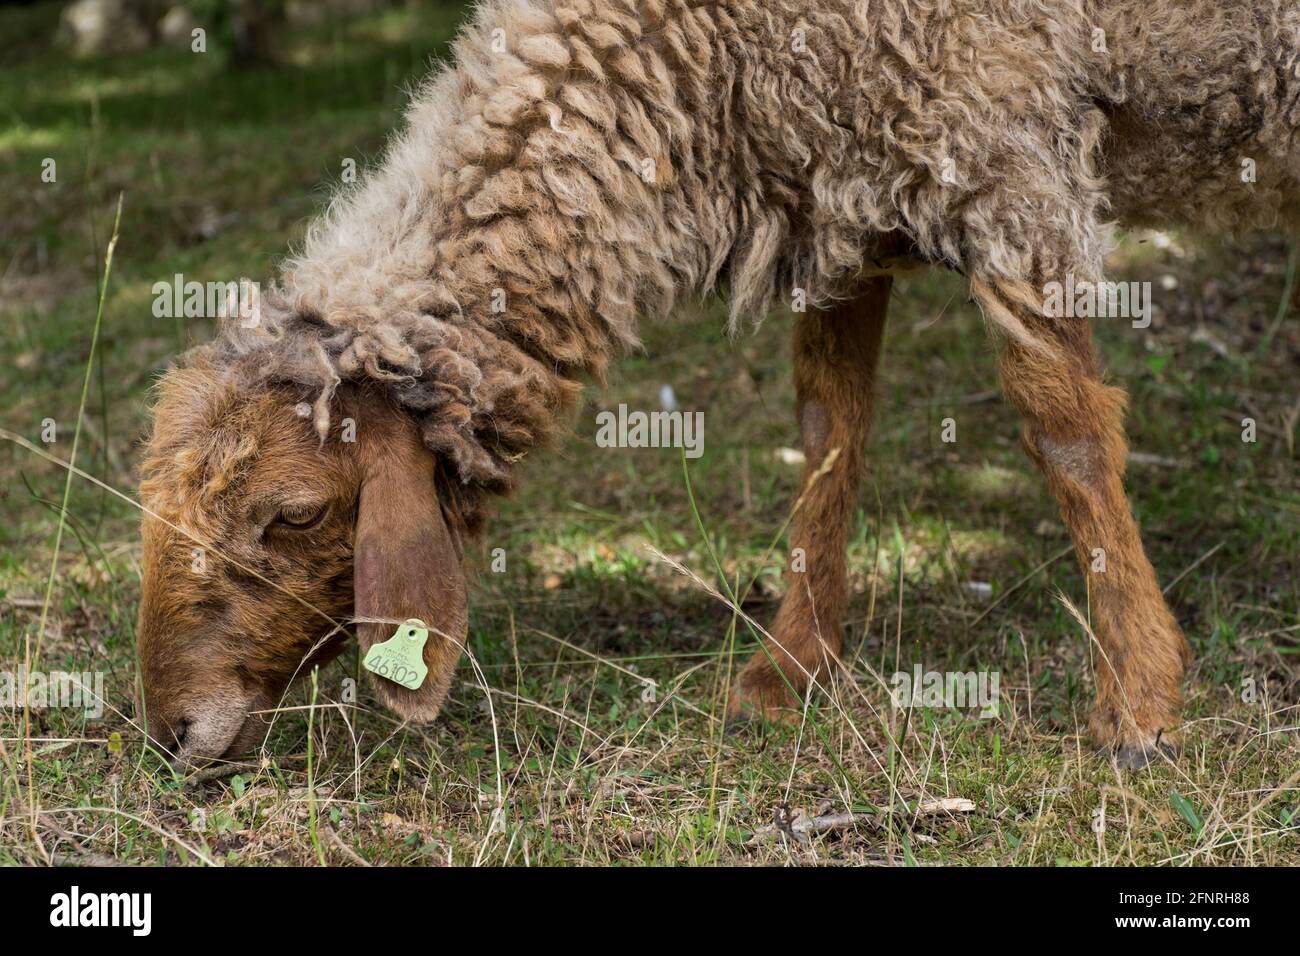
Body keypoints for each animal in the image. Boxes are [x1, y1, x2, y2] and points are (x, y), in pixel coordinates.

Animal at [137, 0, 1294, 764]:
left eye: (292, 513)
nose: (172, 730)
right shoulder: (844, 187)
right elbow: (829, 429)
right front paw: (787, 674)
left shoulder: (999, 143)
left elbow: (1065, 434)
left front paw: (1138, 704)